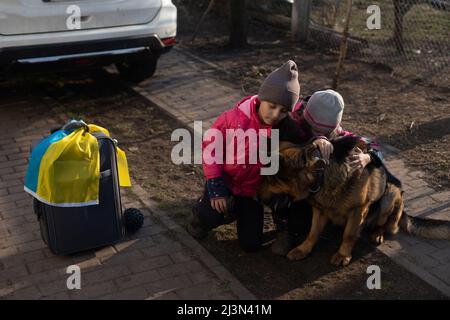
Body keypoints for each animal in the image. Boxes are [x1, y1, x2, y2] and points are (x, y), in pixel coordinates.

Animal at [258, 131, 450, 266]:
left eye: (270, 180)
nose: (256, 197)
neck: (323, 172)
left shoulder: (359, 209)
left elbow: (349, 234)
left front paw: (343, 255)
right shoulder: (320, 209)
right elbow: (313, 233)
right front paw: (303, 249)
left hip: (390, 193)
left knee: (388, 226)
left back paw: (377, 234)